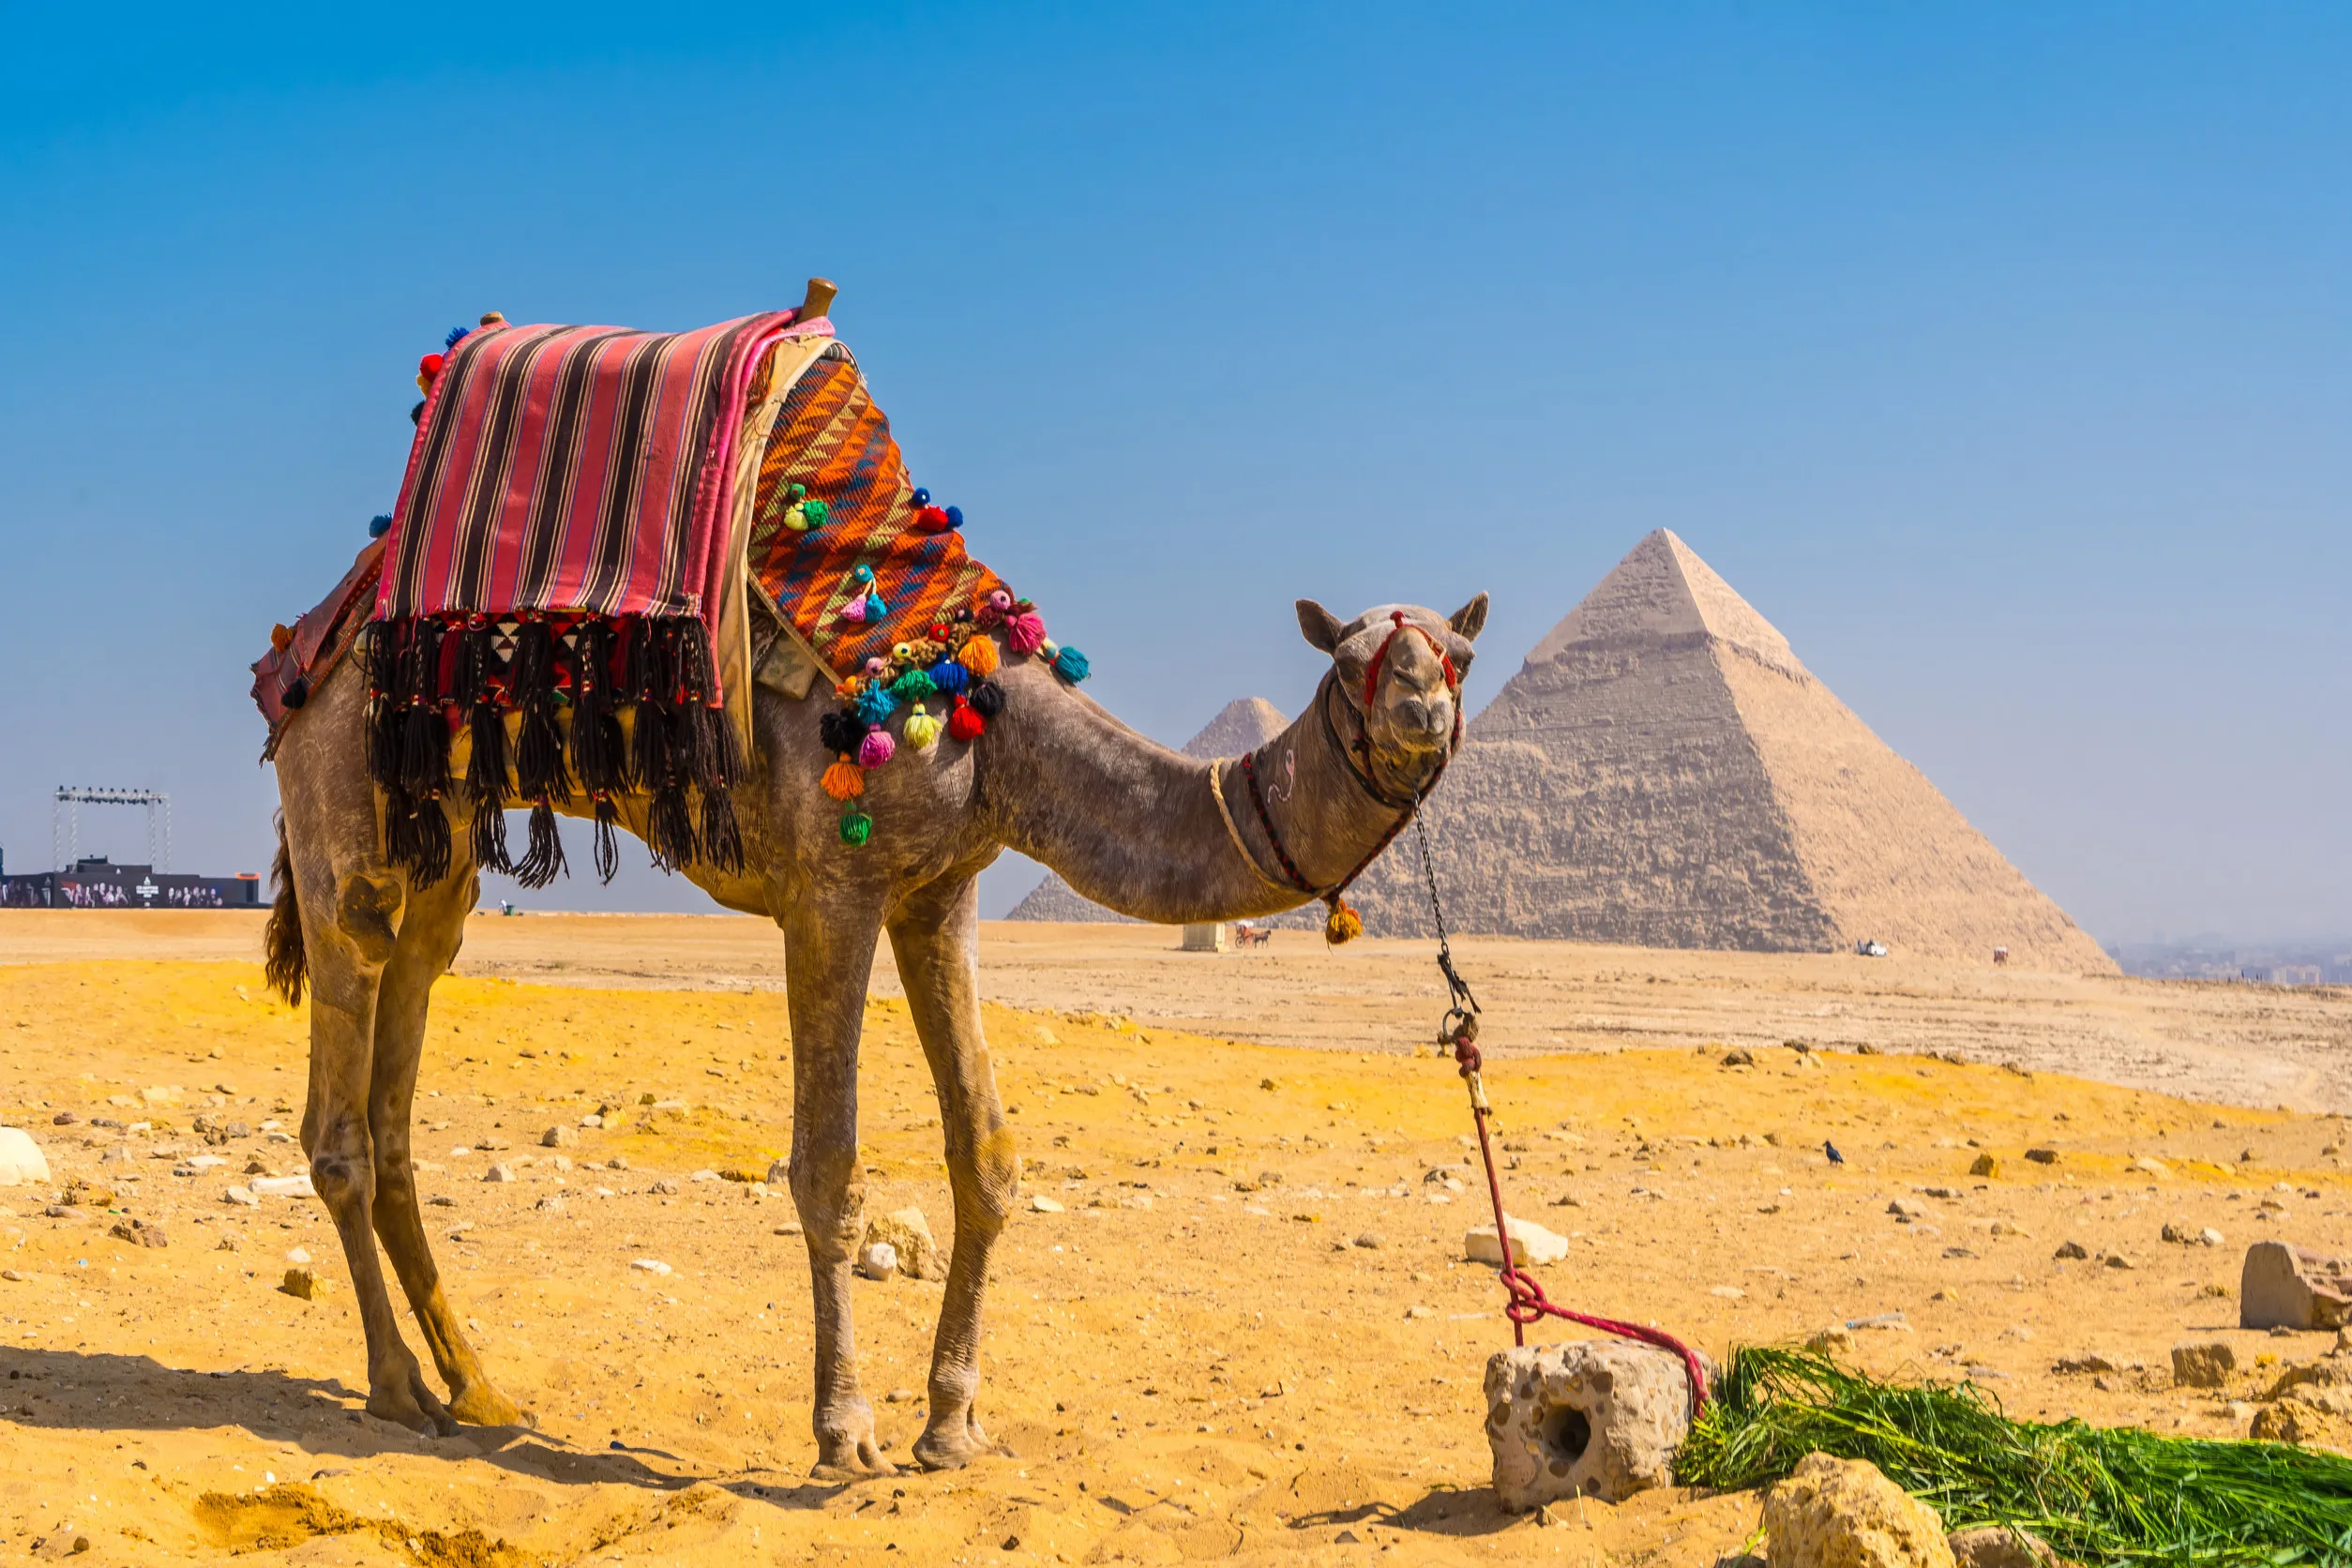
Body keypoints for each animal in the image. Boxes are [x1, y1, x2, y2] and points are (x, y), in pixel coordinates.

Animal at [265, 396, 1485, 1480]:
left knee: (400, 1075)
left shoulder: (942, 893)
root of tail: (308, 643)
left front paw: (953, 1427)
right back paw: (396, 1388)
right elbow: (828, 1168)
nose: (1421, 713)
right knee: (340, 1106)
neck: (993, 727)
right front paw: (846, 1433)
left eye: (1454, 657)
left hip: (438, 855)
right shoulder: (831, 889)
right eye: (1355, 664)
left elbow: (988, 1155)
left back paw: (476, 1386)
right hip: (338, 809)